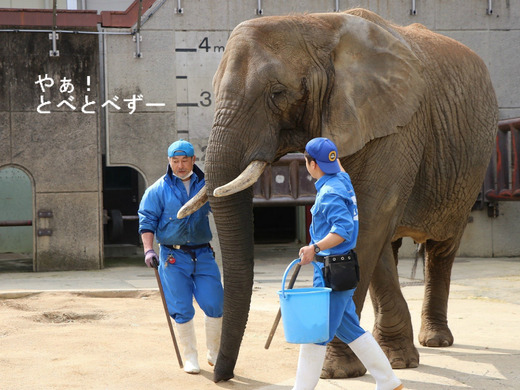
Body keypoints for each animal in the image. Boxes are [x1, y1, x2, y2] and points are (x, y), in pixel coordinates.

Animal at [180, 7, 500, 382]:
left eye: (278, 93)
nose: (221, 376)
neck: (317, 23)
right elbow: (368, 231)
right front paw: (396, 361)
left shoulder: (398, 128)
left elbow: (370, 220)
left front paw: (336, 371)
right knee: (392, 246)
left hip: (471, 166)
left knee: (442, 246)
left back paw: (436, 340)